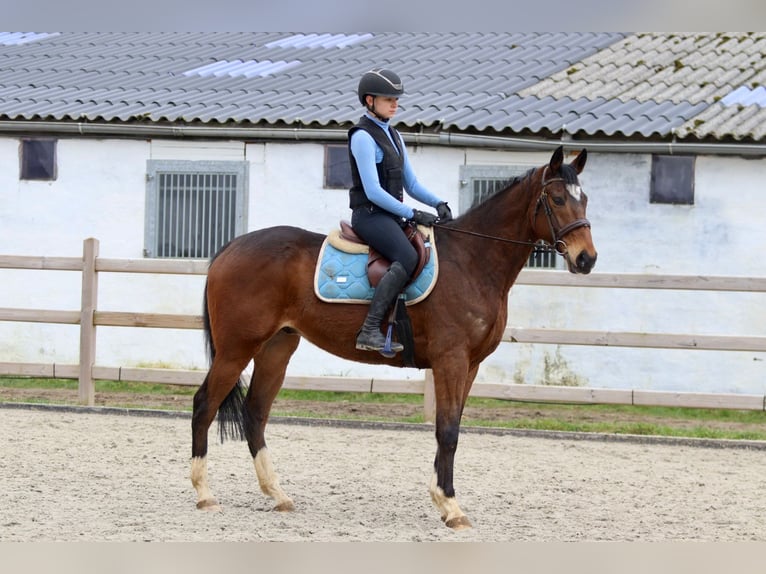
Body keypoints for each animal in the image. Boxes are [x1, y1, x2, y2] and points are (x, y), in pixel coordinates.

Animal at [192, 145, 600, 532]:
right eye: (557, 199)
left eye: (584, 199)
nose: (586, 259)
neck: (472, 260)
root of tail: (232, 247)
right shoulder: (451, 360)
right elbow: (448, 430)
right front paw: (451, 507)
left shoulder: (469, 366)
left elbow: (450, 428)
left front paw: (442, 500)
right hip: (236, 349)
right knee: (205, 404)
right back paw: (205, 495)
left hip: (276, 348)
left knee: (255, 412)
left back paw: (278, 495)